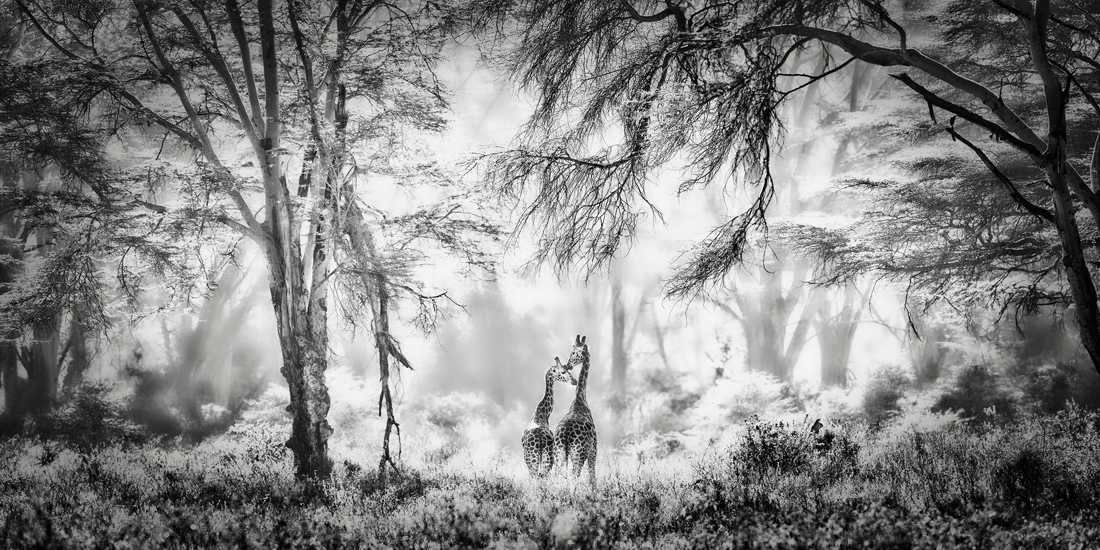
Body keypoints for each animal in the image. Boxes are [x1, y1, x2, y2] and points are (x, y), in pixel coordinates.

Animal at [554, 334, 598, 487]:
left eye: (574, 352)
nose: (568, 365)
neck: (580, 397)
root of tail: (566, 433)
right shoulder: (593, 450)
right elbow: (593, 479)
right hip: (579, 454)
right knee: (575, 476)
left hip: (559, 453)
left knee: (557, 476)